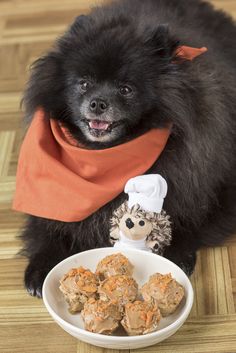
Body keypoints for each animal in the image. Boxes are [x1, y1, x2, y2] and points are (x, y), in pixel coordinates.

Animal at [20, 0, 236, 296]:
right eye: (84, 83)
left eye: (125, 89)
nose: (98, 102)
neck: (102, 159)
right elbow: (47, 225)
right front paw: (41, 265)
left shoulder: (206, 188)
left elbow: (189, 220)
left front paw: (175, 254)